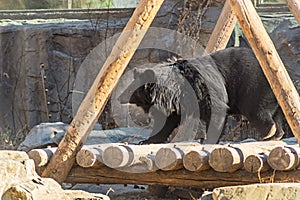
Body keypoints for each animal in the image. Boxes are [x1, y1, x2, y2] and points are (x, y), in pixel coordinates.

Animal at [119, 47, 288, 144]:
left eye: (130, 90)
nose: (119, 97)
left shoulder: (200, 88)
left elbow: (216, 110)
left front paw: (208, 140)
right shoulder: (178, 102)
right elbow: (168, 121)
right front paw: (147, 140)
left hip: (254, 87)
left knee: (257, 110)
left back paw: (268, 132)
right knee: (276, 113)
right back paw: (276, 135)